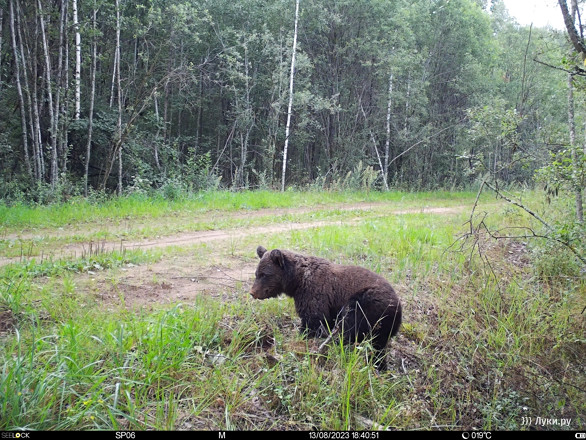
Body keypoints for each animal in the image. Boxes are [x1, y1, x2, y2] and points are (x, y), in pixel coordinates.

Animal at [249, 246, 400, 370]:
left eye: (264, 274)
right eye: (256, 273)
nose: (252, 293)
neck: (296, 281)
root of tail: (398, 307)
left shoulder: (313, 294)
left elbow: (312, 321)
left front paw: (302, 339)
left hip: (365, 303)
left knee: (349, 327)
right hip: (382, 326)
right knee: (378, 345)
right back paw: (378, 364)